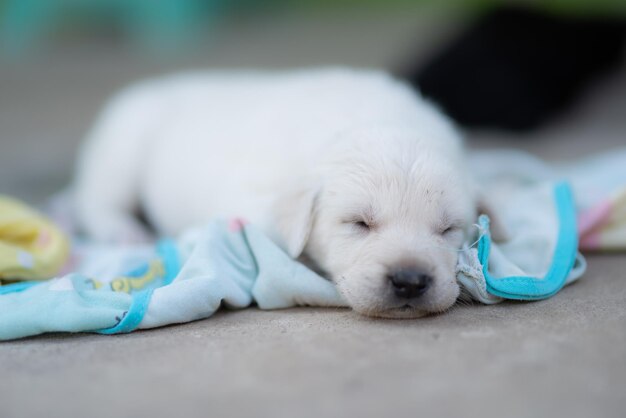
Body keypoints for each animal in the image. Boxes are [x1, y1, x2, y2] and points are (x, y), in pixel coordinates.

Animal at [74, 68, 492, 316]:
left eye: (448, 229)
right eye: (358, 223)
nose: (410, 281)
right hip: (123, 151)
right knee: (95, 201)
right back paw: (123, 230)